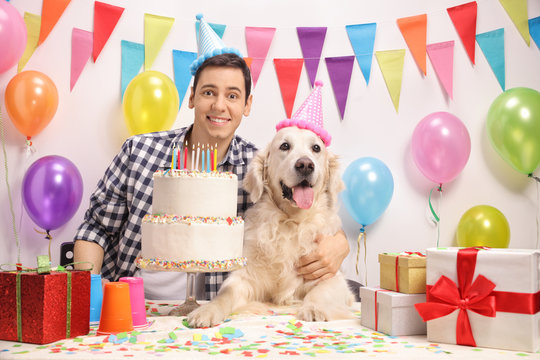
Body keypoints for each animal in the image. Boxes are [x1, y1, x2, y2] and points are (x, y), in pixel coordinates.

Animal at [188, 127, 356, 330]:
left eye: (316, 148)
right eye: (285, 146)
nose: (305, 165)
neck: (291, 222)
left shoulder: (332, 276)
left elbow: (320, 292)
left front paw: (314, 308)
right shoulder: (246, 277)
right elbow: (225, 294)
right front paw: (207, 310)